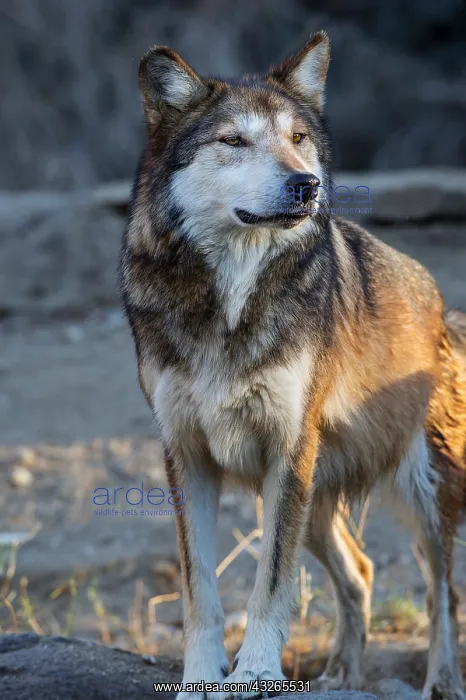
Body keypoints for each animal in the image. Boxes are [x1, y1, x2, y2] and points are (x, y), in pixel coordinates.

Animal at [119, 31, 466, 700]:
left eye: (298, 137)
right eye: (233, 141)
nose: (306, 183)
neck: (230, 300)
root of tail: (442, 305)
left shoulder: (287, 445)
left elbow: (271, 584)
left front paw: (255, 672)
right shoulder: (187, 455)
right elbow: (200, 591)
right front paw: (201, 675)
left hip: (416, 487)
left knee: (441, 592)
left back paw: (440, 683)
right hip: (312, 496)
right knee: (360, 572)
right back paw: (340, 676)